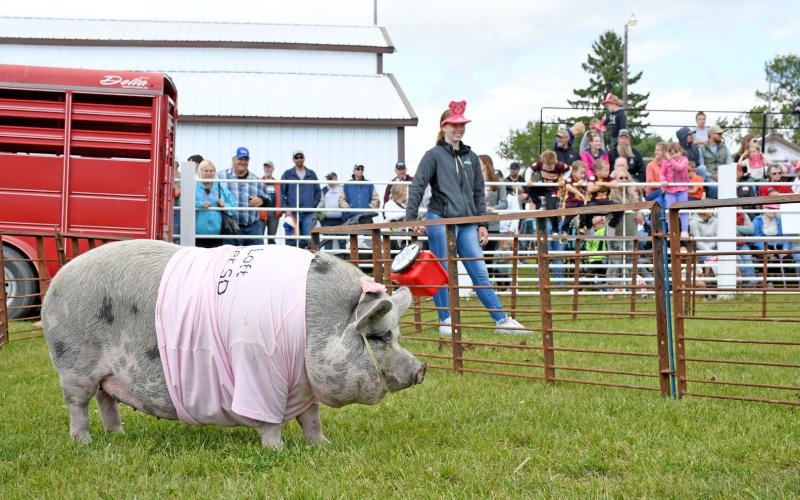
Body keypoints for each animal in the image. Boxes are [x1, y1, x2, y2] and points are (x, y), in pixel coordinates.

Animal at [41, 240, 426, 449]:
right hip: (74, 362)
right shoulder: (259, 371)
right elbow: (270, 422)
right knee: (78, 405)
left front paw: (322, 445)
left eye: (397, 334)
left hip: (105, 372)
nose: (421, 368)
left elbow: (312, 418)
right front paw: (277, 450)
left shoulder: (304, 384)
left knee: (106, 400)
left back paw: (117, 435)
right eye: (379, 336)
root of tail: (57, 281)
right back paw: (84, 442)